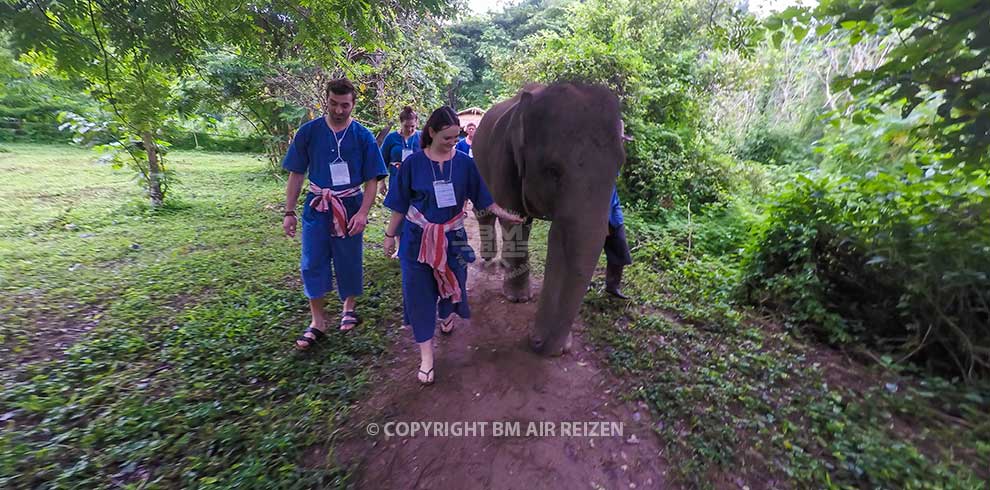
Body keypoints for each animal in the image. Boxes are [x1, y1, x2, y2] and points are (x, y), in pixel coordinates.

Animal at [474, 83, 628, 356]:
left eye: (619, 168)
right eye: (552, 170)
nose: (537, 342)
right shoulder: (504, 158)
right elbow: (515, 223)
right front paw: (518, 299)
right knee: (485, 212)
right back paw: (489, 258)